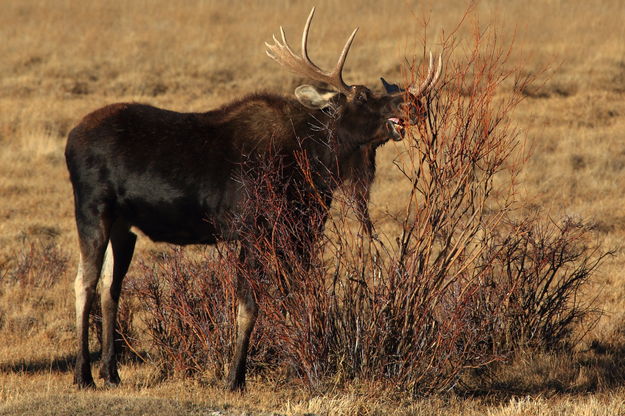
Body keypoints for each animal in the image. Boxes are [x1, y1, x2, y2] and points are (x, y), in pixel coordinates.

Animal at [66, 6, 442, 390]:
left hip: (123, 225)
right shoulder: (252, 231)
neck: (312, 164)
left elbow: (296, 298)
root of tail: (71, 139)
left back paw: (111, 372)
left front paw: (301, 367)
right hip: (92, 210)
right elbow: (248, 308)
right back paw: (83, 375)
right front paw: (235, 378)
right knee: (84, 283)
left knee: (111, 287)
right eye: (363, 96)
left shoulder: (300, 233)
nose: (412, 101)